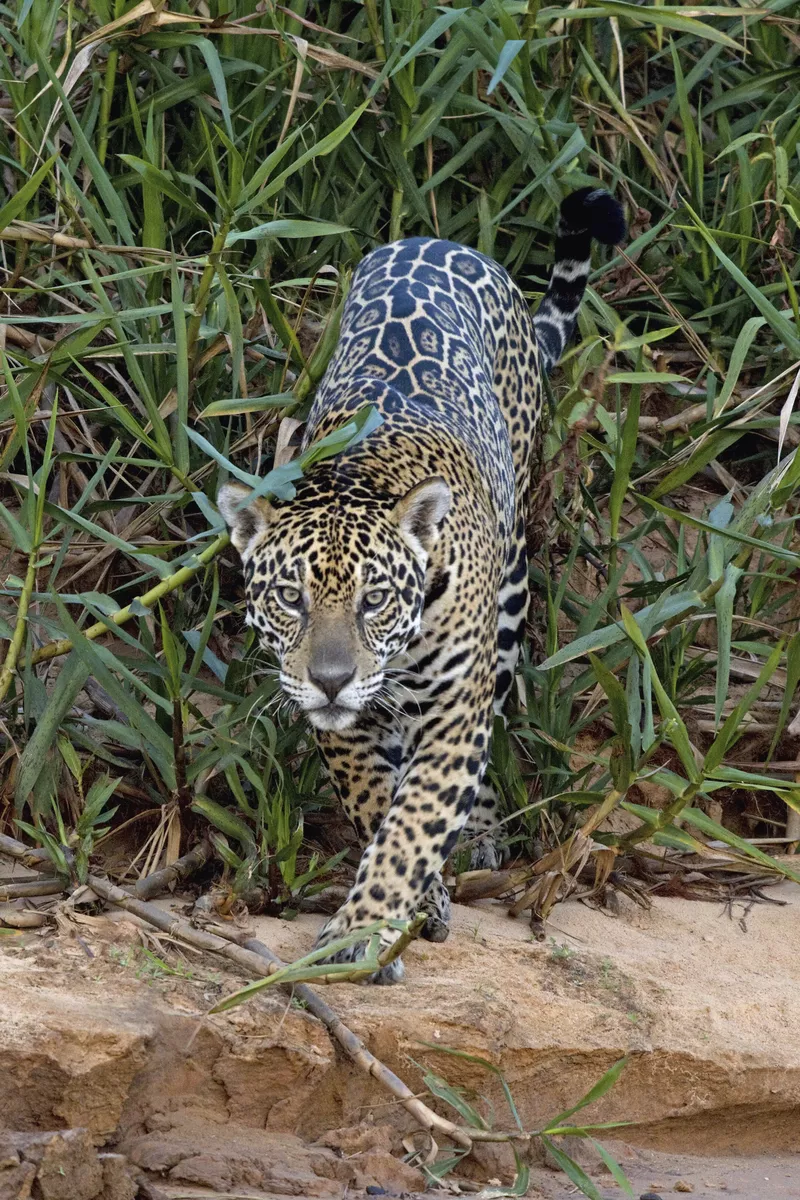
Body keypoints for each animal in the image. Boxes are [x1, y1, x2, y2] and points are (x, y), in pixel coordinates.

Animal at [218, 187, 626, 983]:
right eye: (290, 598)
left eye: (374, 599)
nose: (332, 681)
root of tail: (443, 242)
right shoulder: (346, 734)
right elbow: (378, 803)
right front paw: (412, 907)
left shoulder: (451, 718)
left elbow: (411, 825)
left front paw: (360, 930)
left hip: (511, 594)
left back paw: (482, 841)